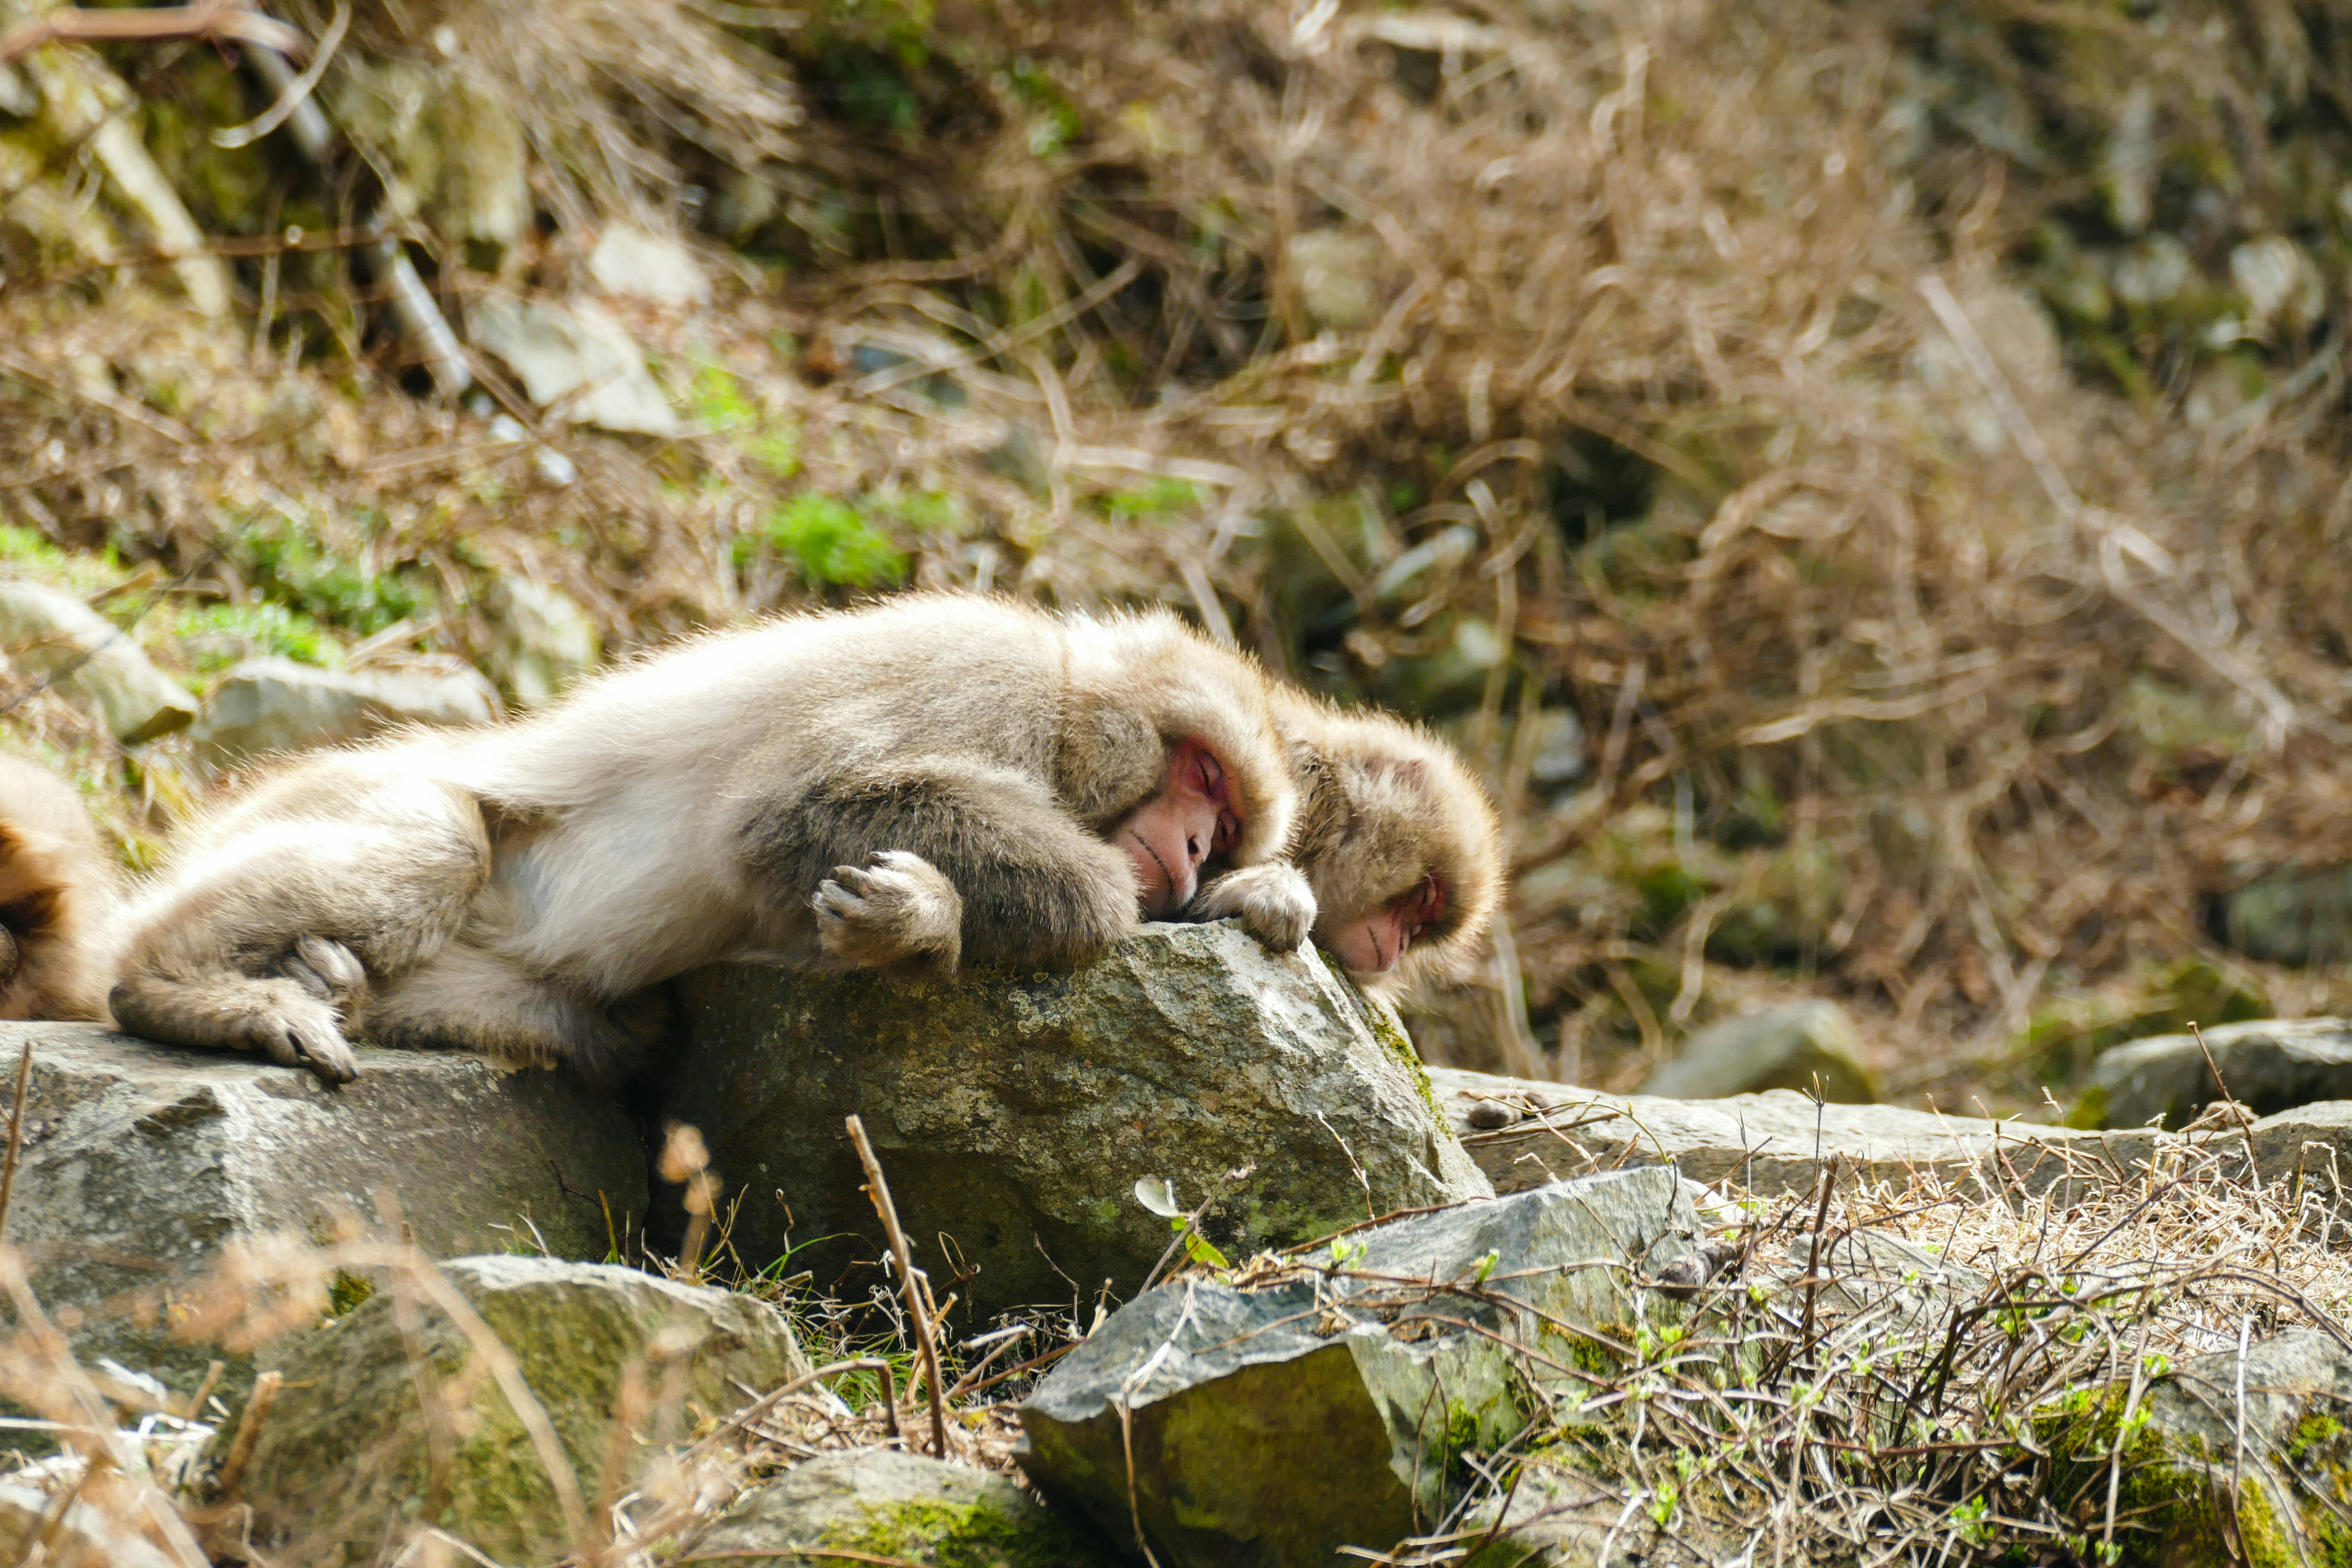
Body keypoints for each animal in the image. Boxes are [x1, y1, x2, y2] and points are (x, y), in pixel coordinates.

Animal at [108, 594, 1308, 1084]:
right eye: (1201, 775)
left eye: (1224, 827)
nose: (1193, 853)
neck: (1063, 724)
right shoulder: (984, 674)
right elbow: (786, 806)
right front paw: (968, 911)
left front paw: (1259, 900)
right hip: (360, 788)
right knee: (435, 850)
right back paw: (176, 989)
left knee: (608, 1026)